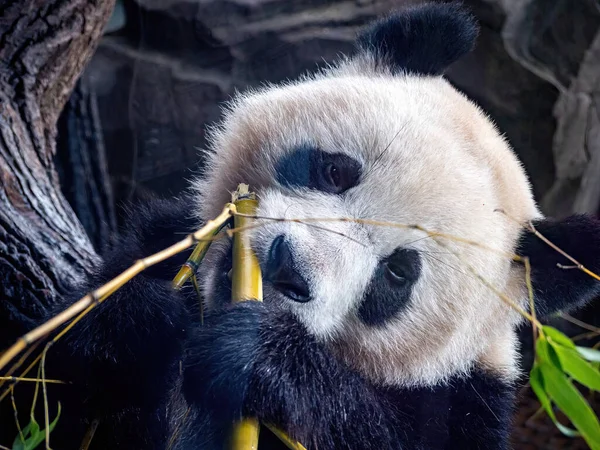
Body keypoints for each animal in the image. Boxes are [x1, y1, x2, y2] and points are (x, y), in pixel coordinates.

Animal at [3, 0, 600, 450]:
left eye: (397, 275)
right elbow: (45, 381)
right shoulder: (161, 241)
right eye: (336, 170)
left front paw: (258, 358)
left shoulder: (465, 401)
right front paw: (142, 320)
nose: (286, 267)